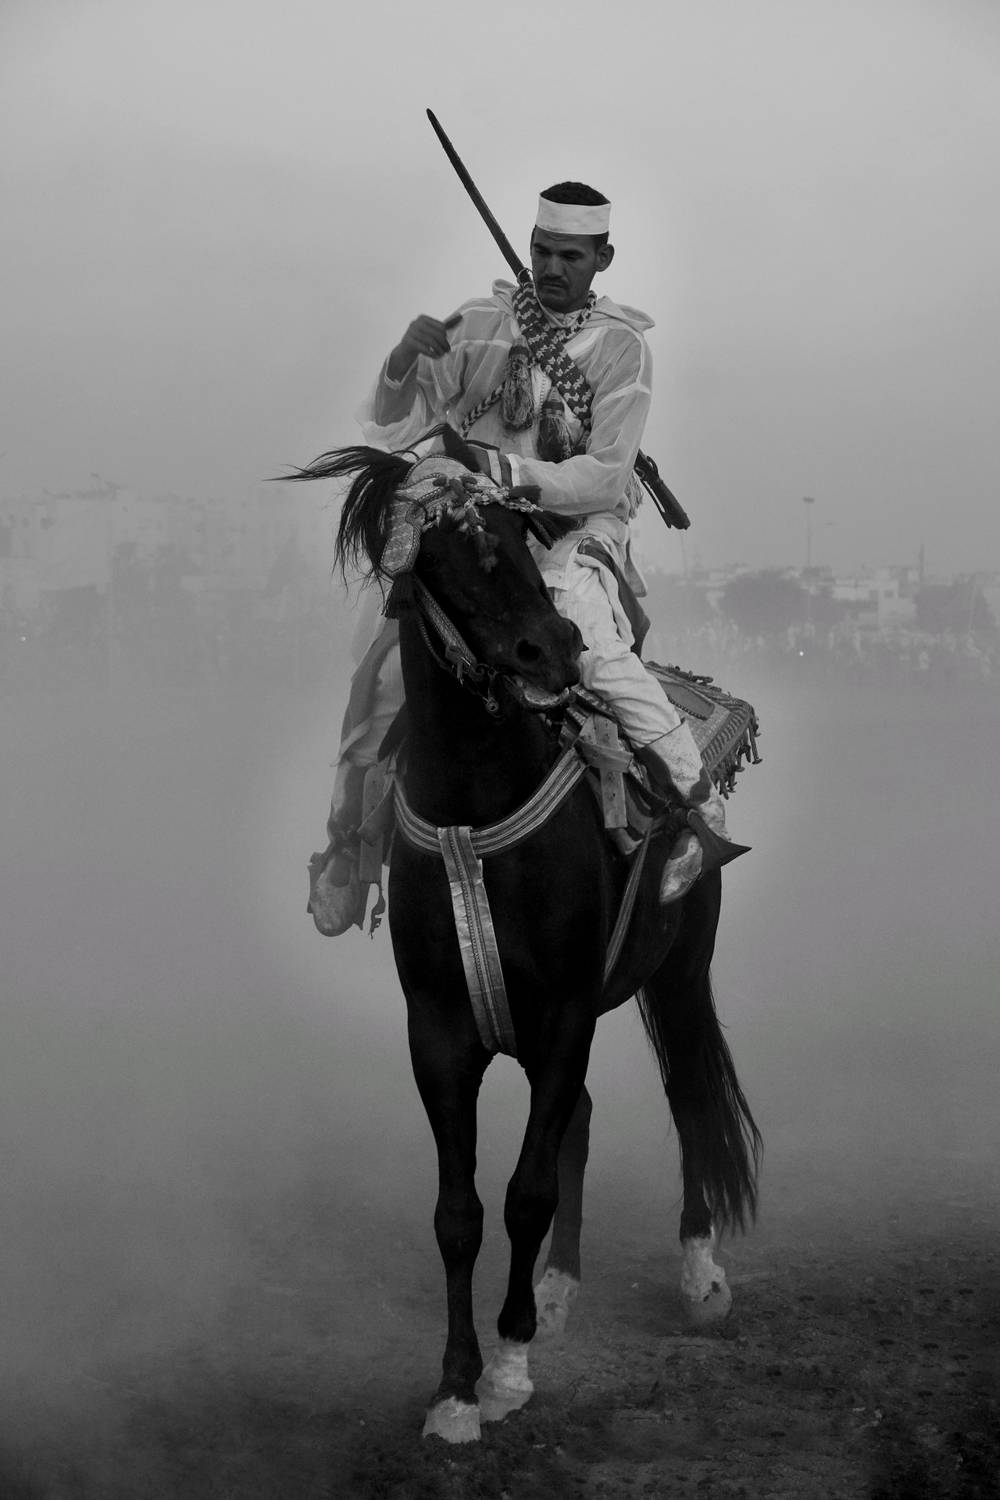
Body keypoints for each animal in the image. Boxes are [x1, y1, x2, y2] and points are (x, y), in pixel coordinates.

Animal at [291, 427, 761, 1444]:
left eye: (515, 538)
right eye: (445, 559)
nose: (556, 649)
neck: (478, 804)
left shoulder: (562, 1017)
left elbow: (526, 1191)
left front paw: (508, 1369)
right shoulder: (439, 1035)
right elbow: (460, 1211)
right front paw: (456, 1388)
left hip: (679, 972)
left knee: (688, 1097)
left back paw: (700, 1275)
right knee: (579, 1120)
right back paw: (556, 1290)